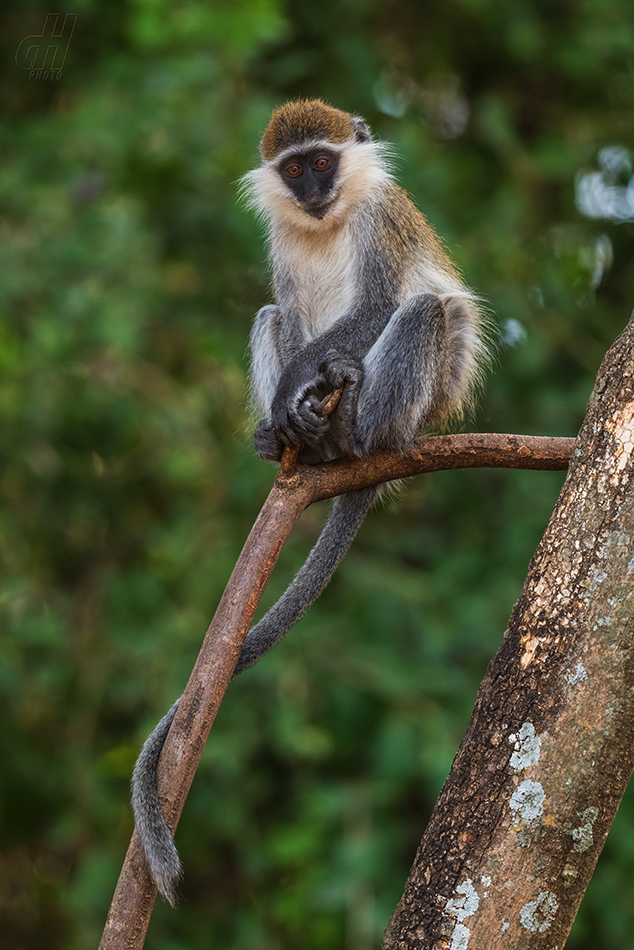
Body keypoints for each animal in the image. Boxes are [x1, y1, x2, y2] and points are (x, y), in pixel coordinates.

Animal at [130, 98, 488, 908]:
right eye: (294, 169)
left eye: (323, 160)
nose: (315, 190)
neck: (331, 222)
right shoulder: (281, 243)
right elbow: (285, 312)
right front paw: (284, 410)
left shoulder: (382, 218)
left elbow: (386, 301)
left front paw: (309, 382)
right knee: (269, 314)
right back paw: (299, 440)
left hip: (417, 408)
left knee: (425, 312)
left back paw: (350, 419)